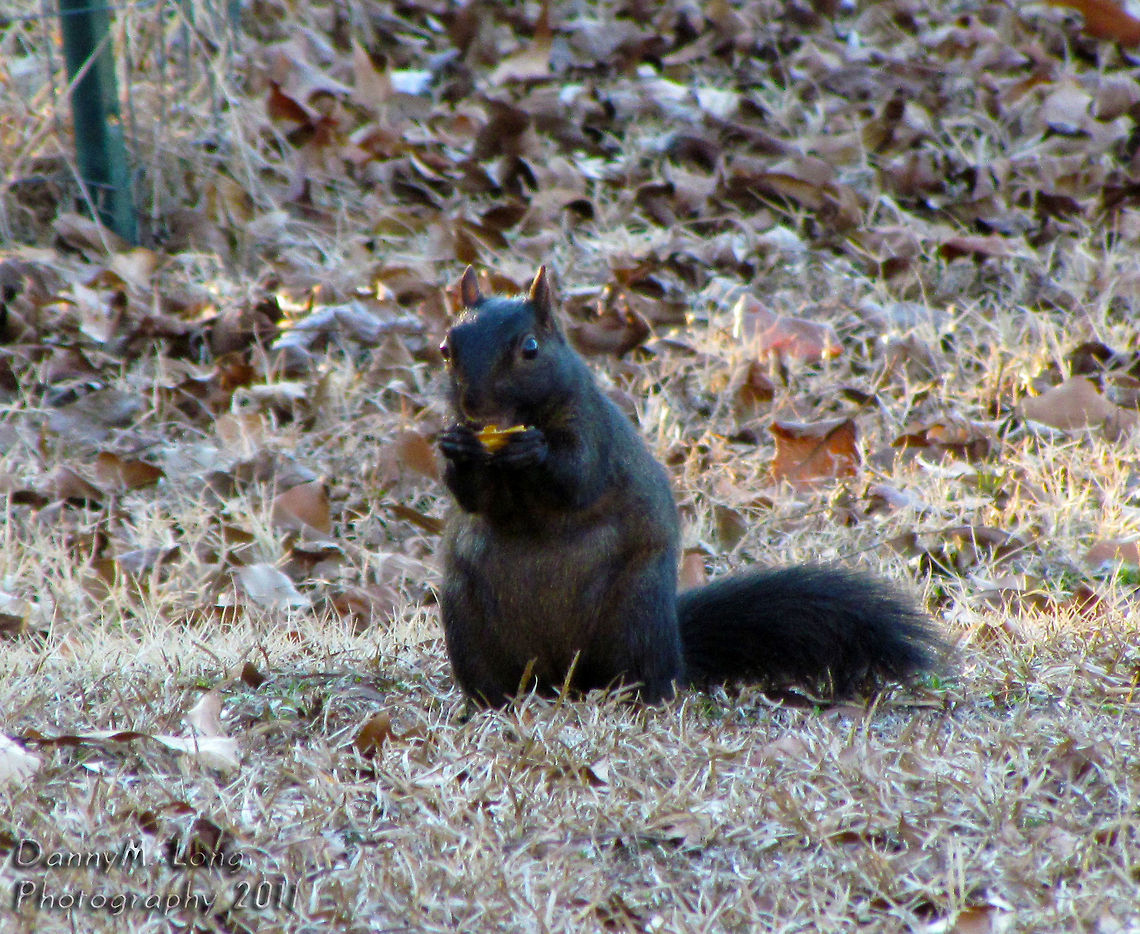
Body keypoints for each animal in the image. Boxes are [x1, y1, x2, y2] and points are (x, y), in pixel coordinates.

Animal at [435, 266, 945, 707]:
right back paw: (491, 702)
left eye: (531, 349)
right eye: (446, 348)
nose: (474, 405)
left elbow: (578, 478)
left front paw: (533, 449)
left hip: (634, 614)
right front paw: (456, 446)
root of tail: (562, 677)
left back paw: (635, 696)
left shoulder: (593, 432)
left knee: (644, 676)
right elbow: (473, 498)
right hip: (465, 618)